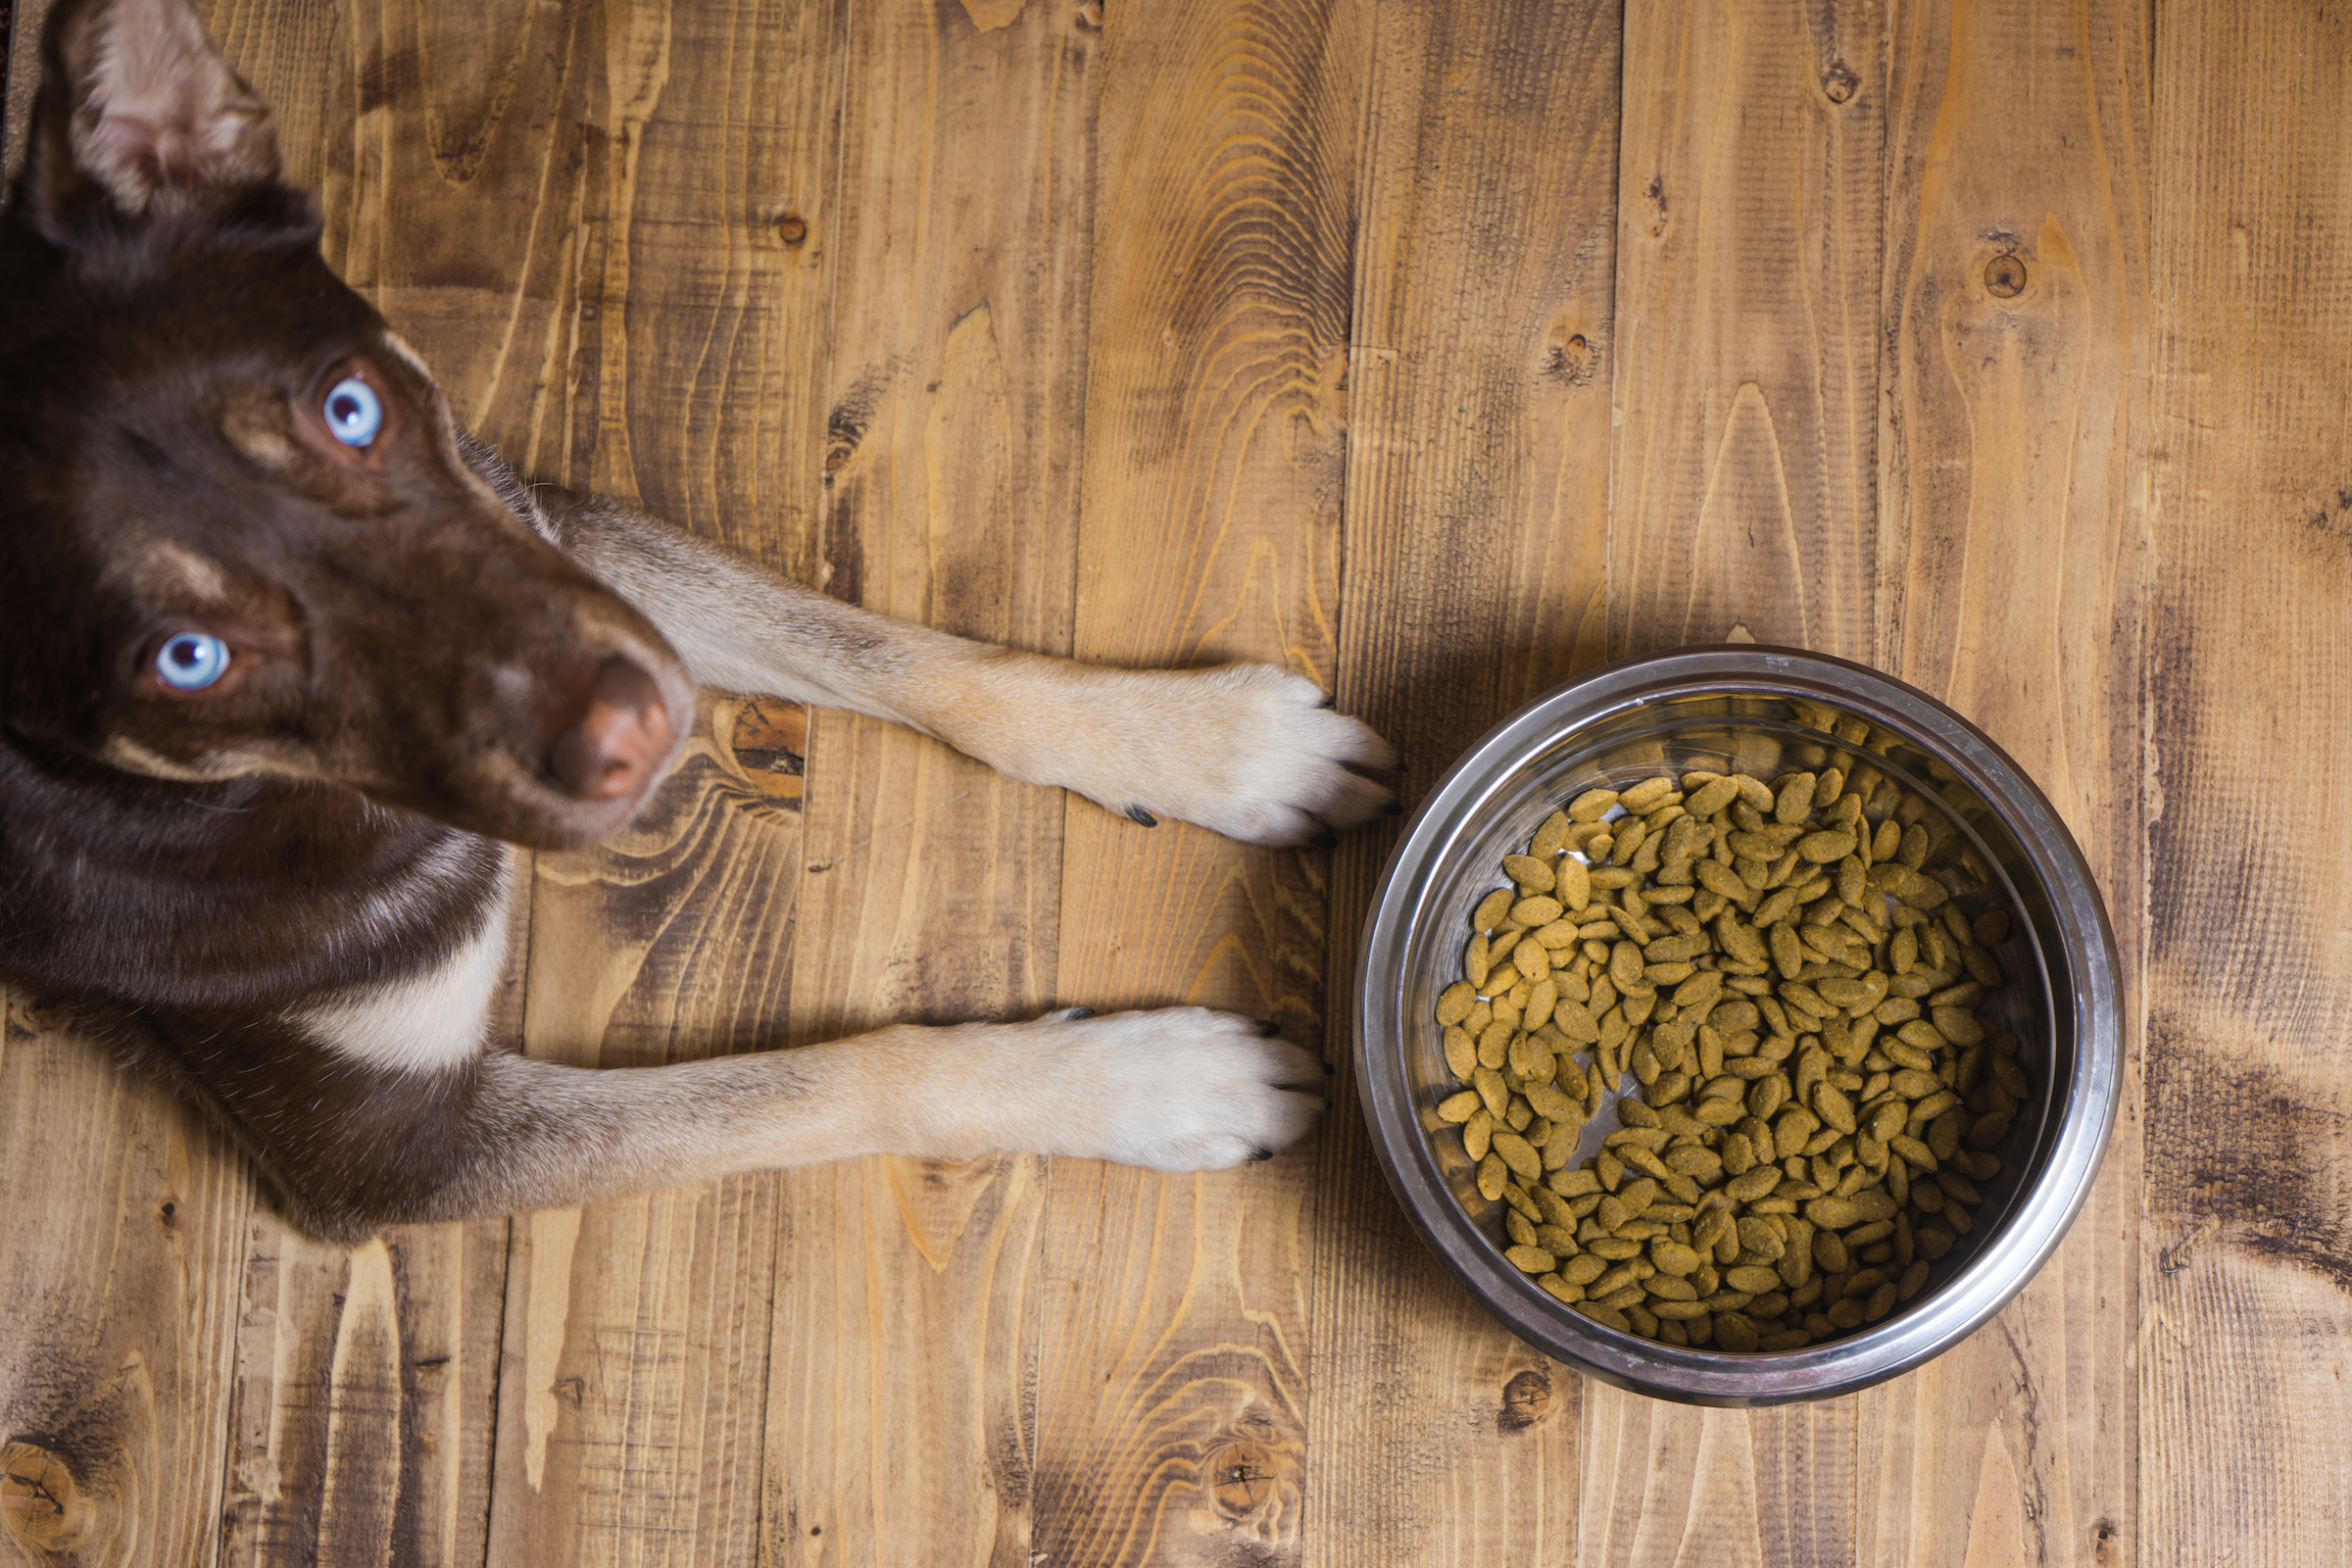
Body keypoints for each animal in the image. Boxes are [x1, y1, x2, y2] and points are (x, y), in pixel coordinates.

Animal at [0, 3, 1392, 1250]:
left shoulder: (540, 525)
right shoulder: (389, 1150)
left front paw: (1208, 745)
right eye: (186, 659)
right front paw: (1155, 1084)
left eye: (350, 409)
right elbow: (833, 1083)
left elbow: (907, 661)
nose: (637, 728)